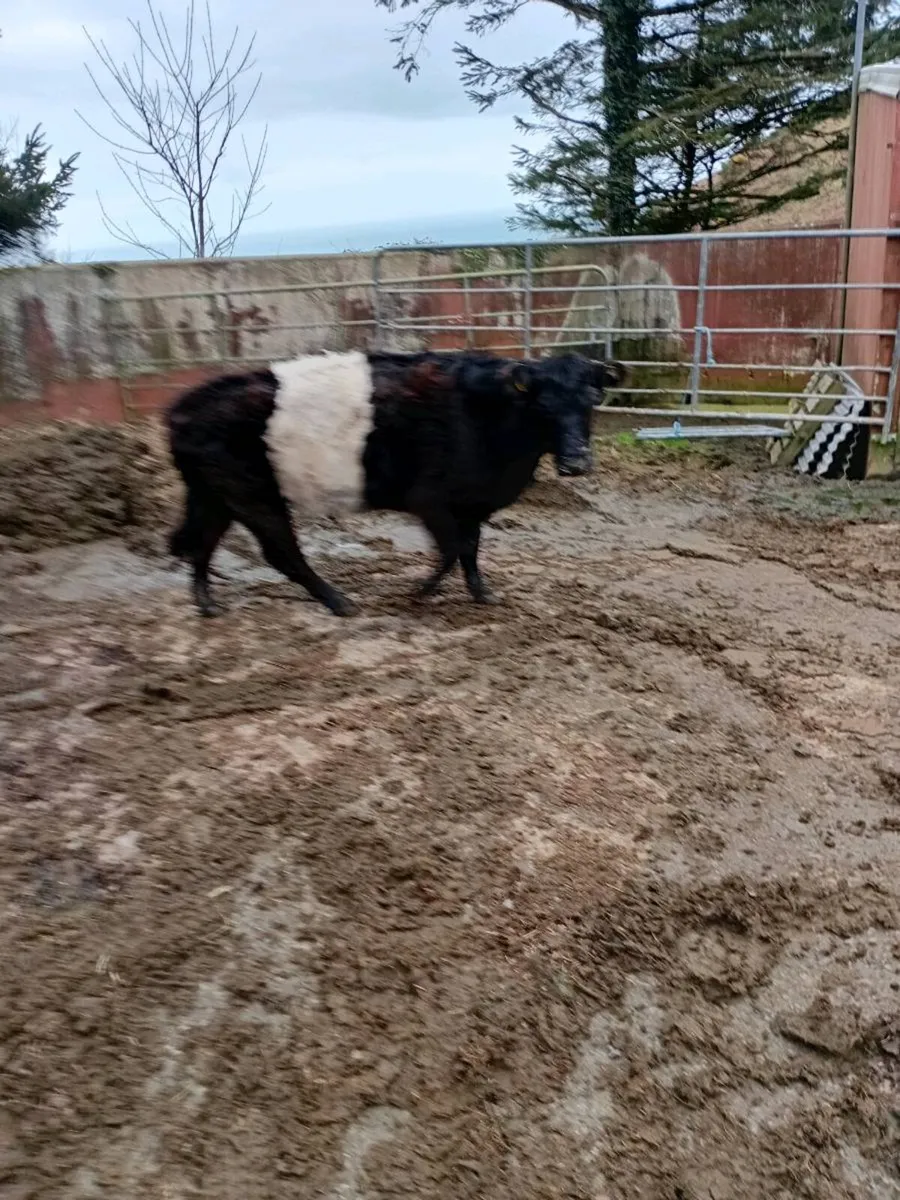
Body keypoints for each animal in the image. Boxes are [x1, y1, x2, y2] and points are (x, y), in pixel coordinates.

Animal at [165, 349, 624, 618]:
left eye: (591, 401)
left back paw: (207, 603)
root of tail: (183, 408)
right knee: (281, 552)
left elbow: (470, 548)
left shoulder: (471, 503)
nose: (577, 463)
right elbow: (452, 549)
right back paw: (341, 603)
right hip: (255, 497)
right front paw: (420, 592)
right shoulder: (430, 499)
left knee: (202, 542)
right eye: (543, 406)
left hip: (216, 495)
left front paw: (481, 594)